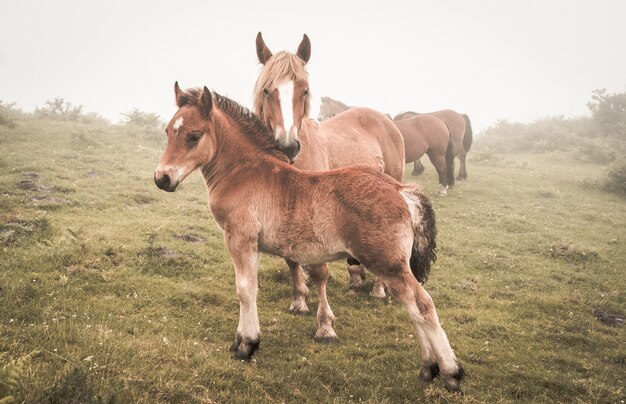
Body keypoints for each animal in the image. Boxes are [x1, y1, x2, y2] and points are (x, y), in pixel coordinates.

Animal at [252, 34, 404, 304]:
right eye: (267, 90)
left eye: (305, 91)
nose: (288, 147)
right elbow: (292, 261)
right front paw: (299, 299)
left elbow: (317, 269)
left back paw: (378, 289)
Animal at [316, 96, 454, 194]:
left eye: (324, 107)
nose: (318, 118)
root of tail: (442, 122)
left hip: (437, 153)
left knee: (442, 169)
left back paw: (443, 190)